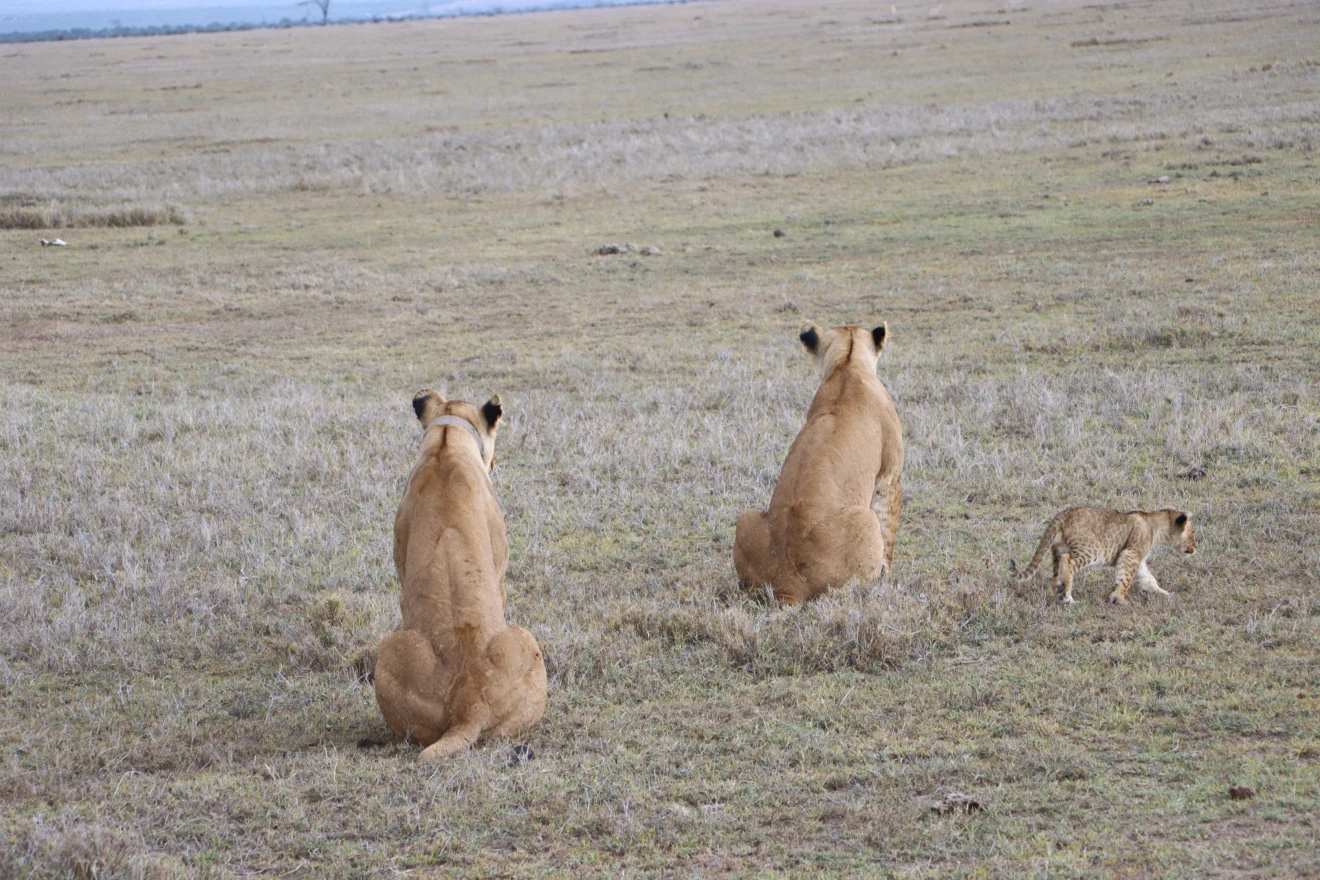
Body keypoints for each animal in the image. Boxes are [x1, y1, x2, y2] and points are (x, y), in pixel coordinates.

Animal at [733, 323, 908, 606]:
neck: (846, 366)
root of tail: (788, 585)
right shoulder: (890, 477)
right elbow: (889, 533)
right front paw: (888, 575)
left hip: (745, 517)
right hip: (864, 518)